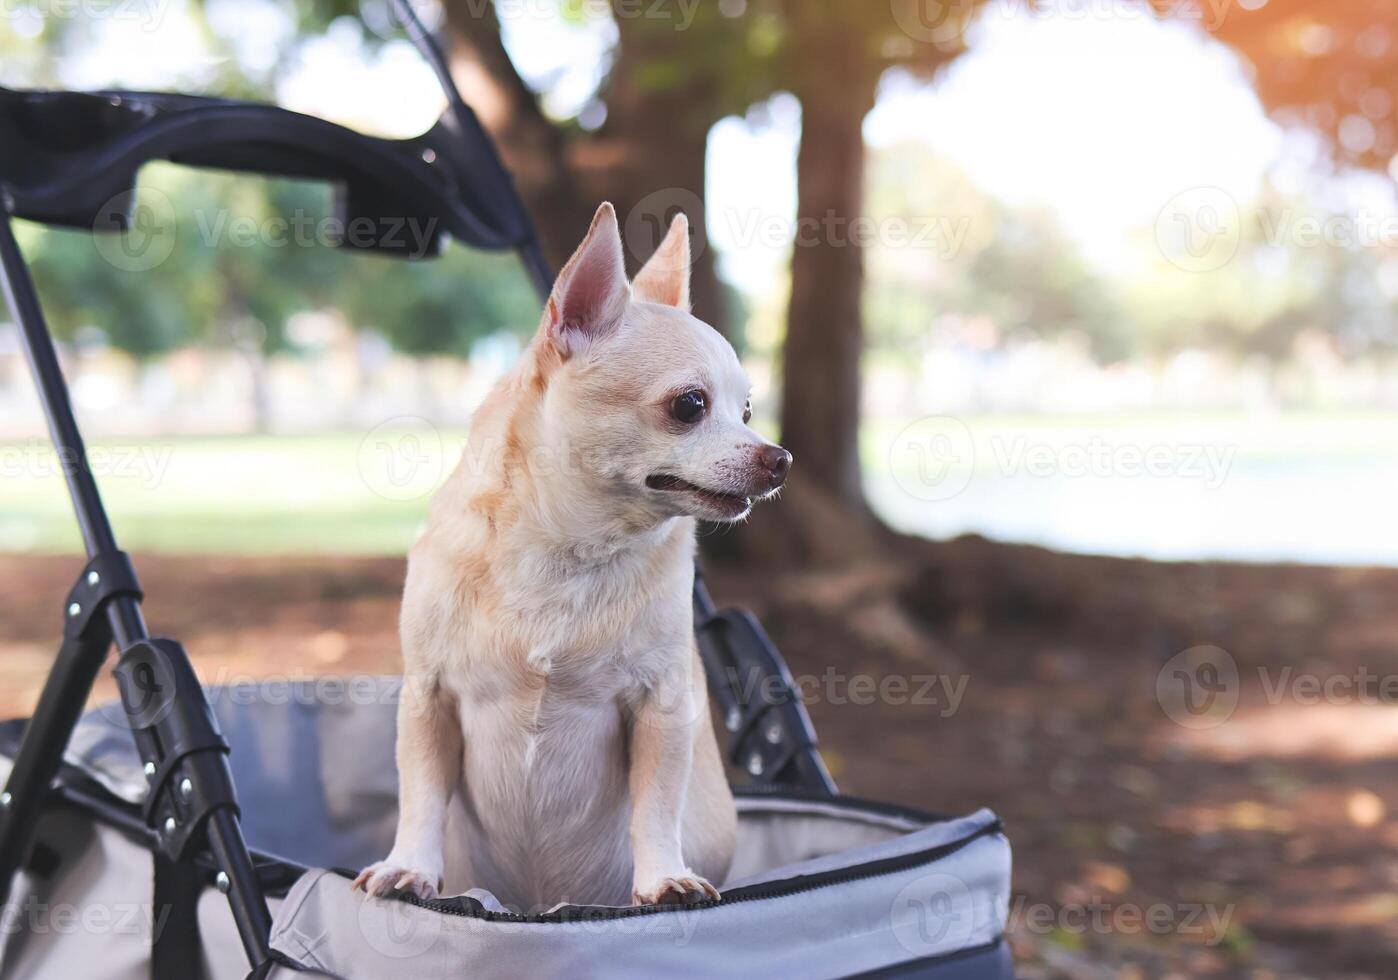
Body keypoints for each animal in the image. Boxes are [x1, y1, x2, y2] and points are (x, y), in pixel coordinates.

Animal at [349, 201, 794, 911]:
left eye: (747, 410)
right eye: (690, 405)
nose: (780, 458)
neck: (569, 549)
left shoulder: (664, 708)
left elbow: (655, 806)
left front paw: (663, 878)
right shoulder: (427, 699)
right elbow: (419, 794)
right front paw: (409, 867)